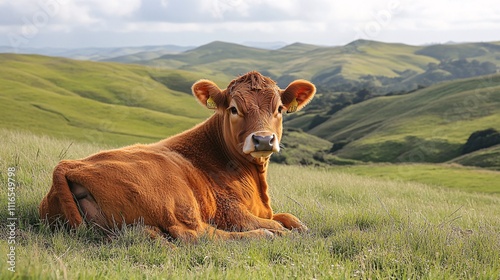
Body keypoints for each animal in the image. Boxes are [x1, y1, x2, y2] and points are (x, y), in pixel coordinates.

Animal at [39, 71, 314, 242]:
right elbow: (277, 224)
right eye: (234, 109)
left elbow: (290, 218)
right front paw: (284, 233)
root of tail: (67, 165)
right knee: (197, 236)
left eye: (279, 109)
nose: (263, 139)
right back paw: (263, 237)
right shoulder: (230, 212)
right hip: (178, 201)